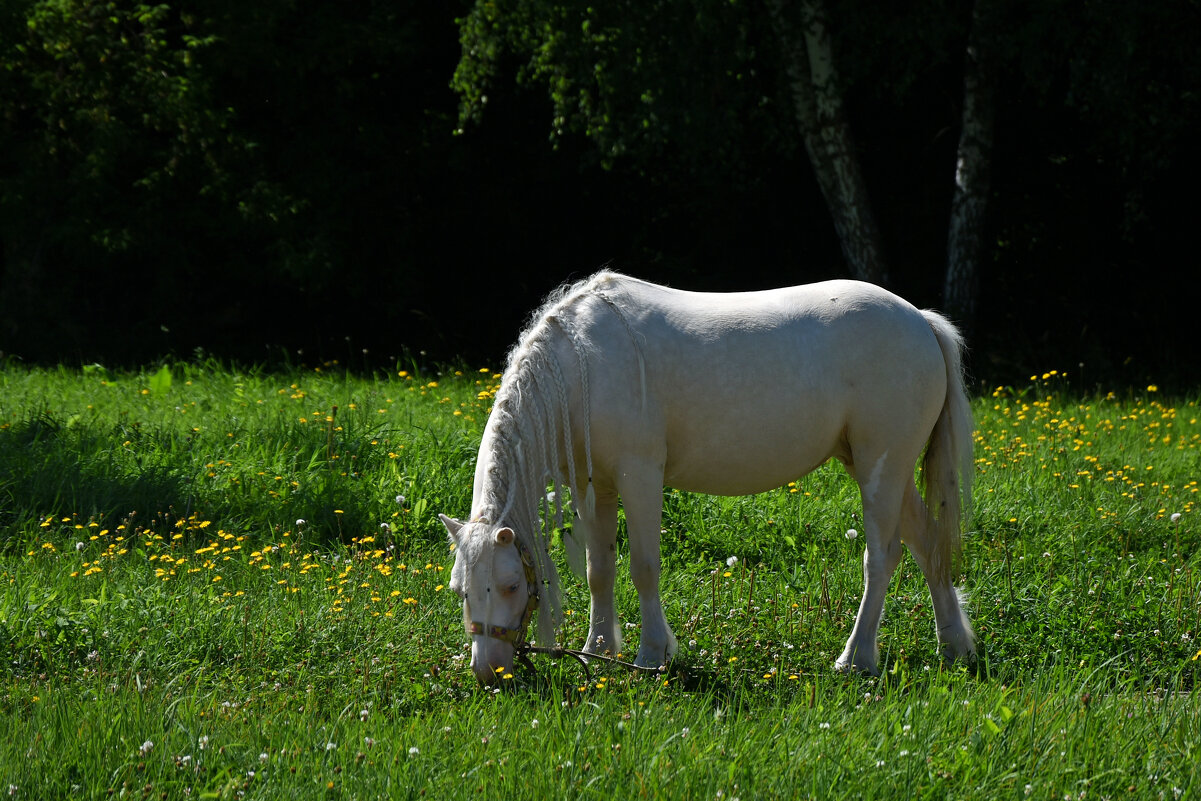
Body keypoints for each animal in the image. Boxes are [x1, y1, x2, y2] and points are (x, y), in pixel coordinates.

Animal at [441, 272, 975, 686]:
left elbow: (644, 567)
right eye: (461, 590)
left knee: (881, 559)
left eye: (512, 585)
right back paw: (955, 646)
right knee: (929, 545)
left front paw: (652, 655)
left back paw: (856, 658)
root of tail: (921, 320)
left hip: (880, 468)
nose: (488, 673)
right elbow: (600, 570)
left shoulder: (640, 476)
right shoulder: (596, 487)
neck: (582, 364)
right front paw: (600, 650)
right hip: (885, 471)